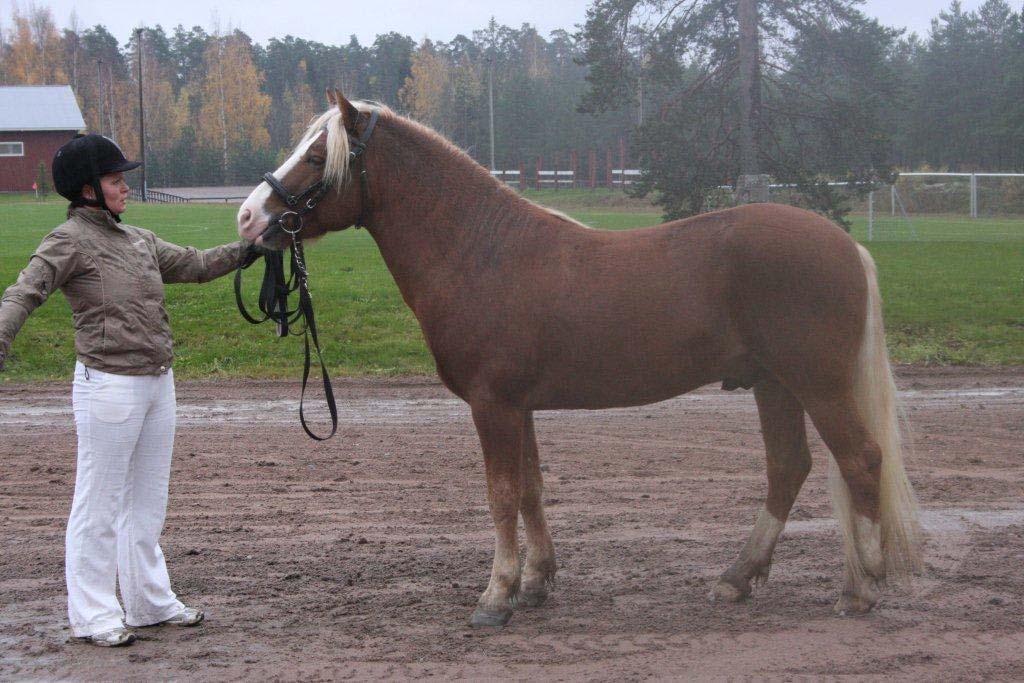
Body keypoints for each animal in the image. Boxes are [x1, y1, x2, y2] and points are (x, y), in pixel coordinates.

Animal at [235, 90, 925, 630]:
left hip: (817, 384)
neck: (481, 250)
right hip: (773, 384)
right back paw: (738, 577)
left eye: (318, 156)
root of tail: (845, 246)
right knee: (789, 467)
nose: (247, 217)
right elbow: (532, 490)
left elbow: (501, 494)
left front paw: (496, 596)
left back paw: (860, 588)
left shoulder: (493, 406)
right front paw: (538, 582)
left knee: (861, 462)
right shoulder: (518, 407)